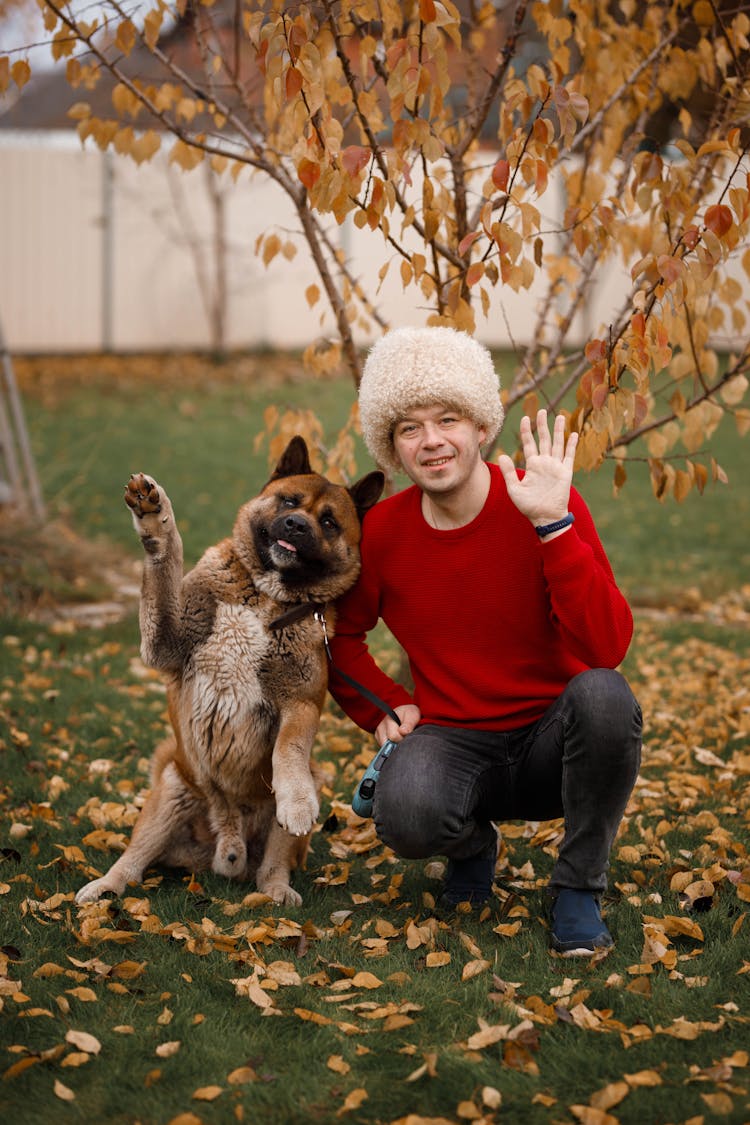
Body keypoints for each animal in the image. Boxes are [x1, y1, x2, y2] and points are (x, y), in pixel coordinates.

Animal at [77, 434, 384, 909]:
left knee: (270, 868)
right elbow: (163, 568)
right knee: (133, 860)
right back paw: (106, 885)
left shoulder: (302, 702)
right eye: (289, 501)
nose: (296, 525)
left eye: (329, 522)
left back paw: (276, 889)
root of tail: (224, 841)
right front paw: (154, 518)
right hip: (172, 788)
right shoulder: (164, 642)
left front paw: (297, 802)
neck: (264, 595)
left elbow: (289, 748)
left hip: (292, 807)